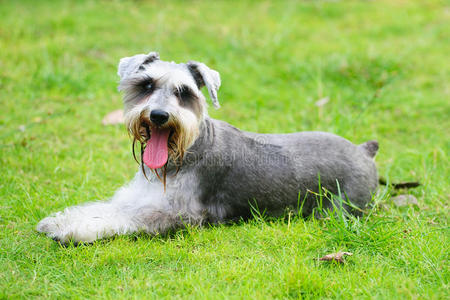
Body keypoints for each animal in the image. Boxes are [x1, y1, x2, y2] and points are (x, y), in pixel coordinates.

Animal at [37, 52, 378, 244]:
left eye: (183, 92)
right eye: (146, 85)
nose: (158, 115)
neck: (183, 153)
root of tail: (364, 150)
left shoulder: (176, 214)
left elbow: (121, 219)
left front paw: (72, 231)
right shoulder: (136, 196)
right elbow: (105, 208)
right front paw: (60, 220)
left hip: (340, 208)